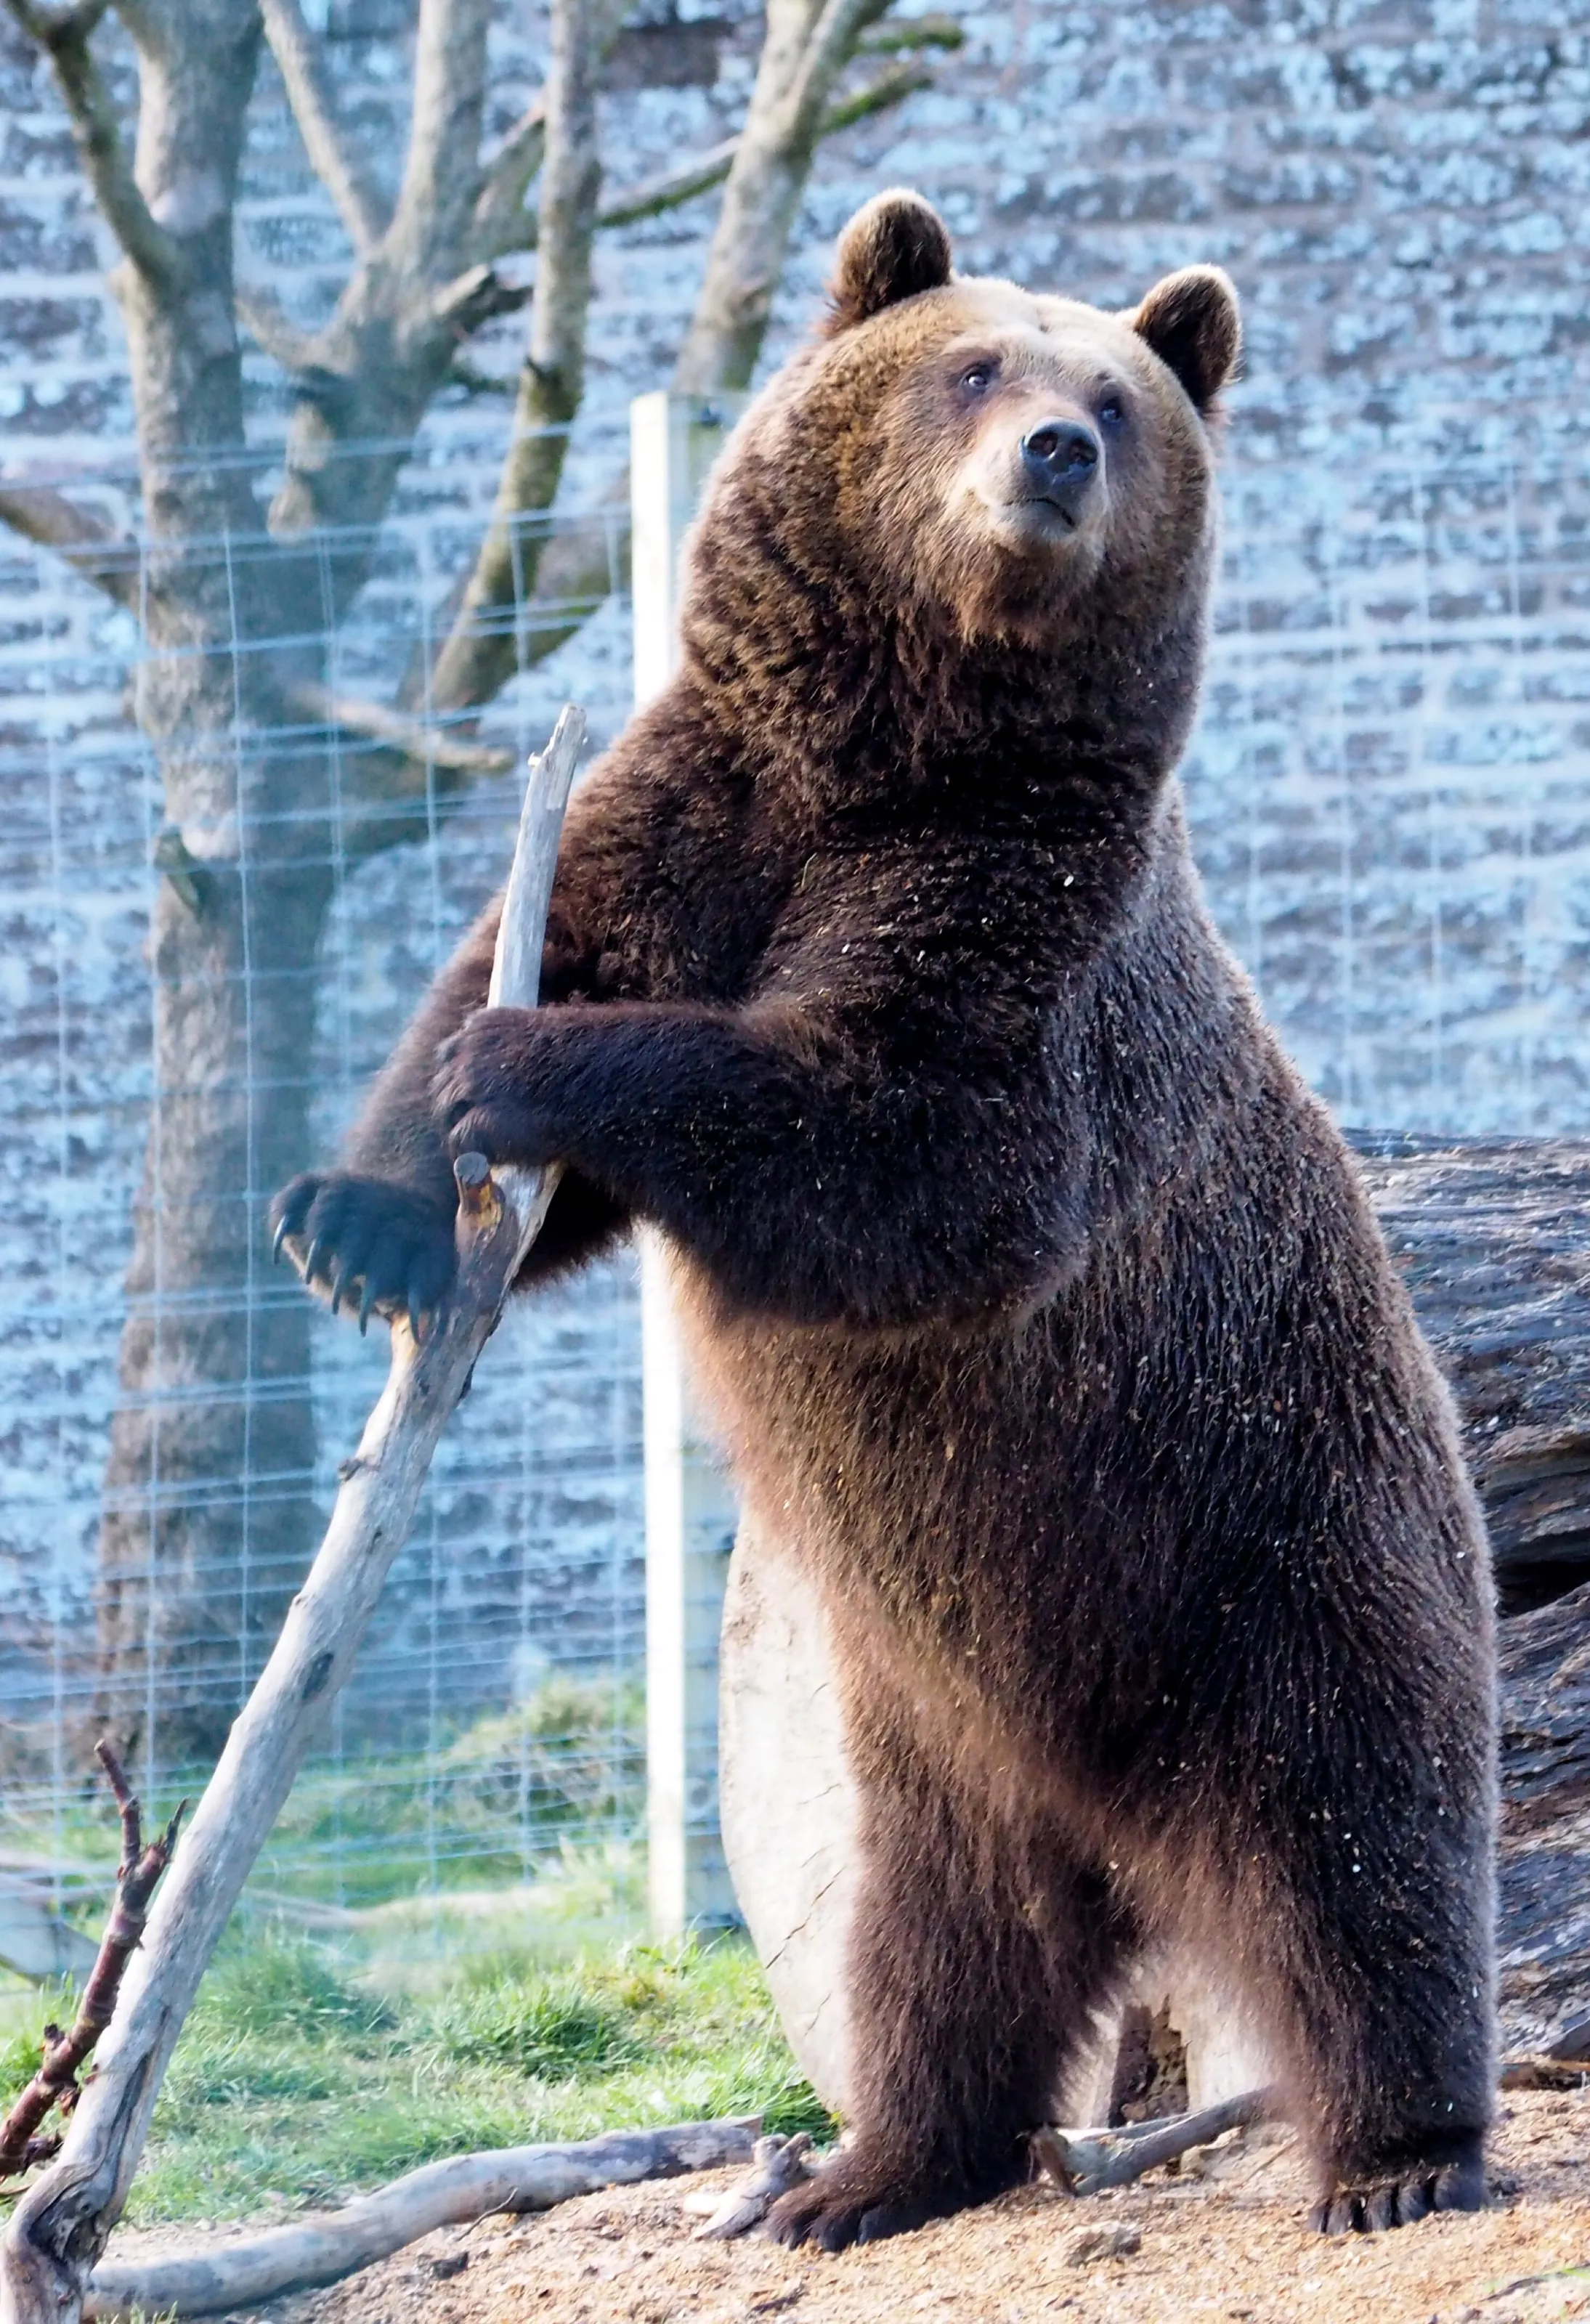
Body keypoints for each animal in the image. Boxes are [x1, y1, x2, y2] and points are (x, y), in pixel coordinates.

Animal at [273, 189, 1496, 2247]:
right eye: (974, 364)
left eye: (1116, 393)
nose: (1055, 455)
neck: (891, 743)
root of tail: (1112, 1827)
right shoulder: (696, 798)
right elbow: (528, 957)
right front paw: (351, 1216)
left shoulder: (1009, 914)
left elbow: (913, 1154)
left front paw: (534, 1058)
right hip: (919, 1734)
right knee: (932, 1953)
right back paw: (863, 2170)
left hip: (1276, 1546)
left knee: (1359, 1852)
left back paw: (1396, 2152)